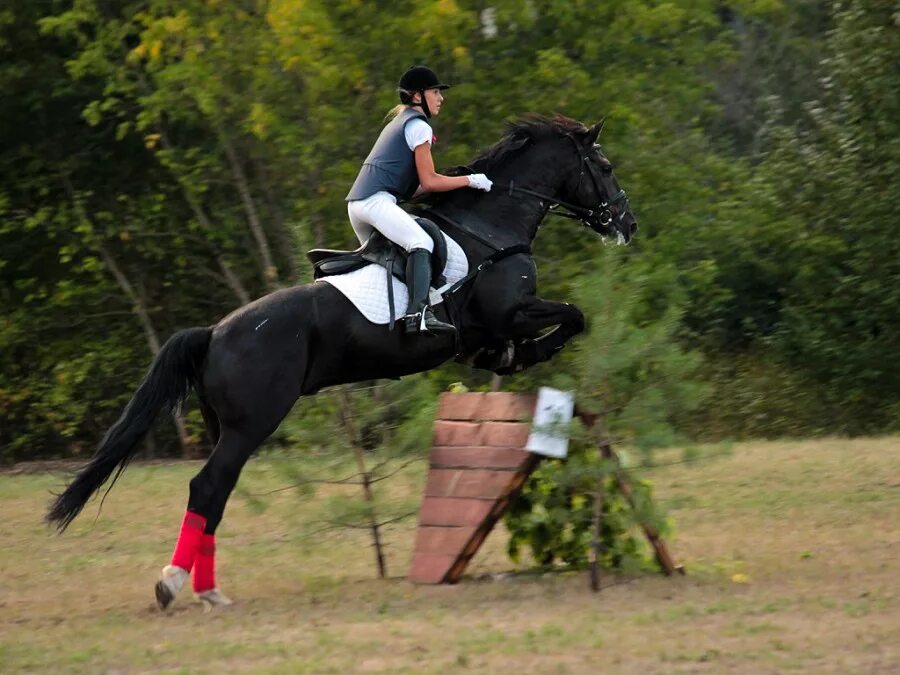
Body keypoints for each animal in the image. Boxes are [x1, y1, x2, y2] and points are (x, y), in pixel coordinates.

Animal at [49, 113, 636, 608]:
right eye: (605, 167)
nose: (626, 224)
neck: (491, 227)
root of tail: (214, 333)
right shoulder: (510, 311)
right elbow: (575, 315)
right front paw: (534, 352)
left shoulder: (489, 330)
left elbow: (554, 325)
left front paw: (515, 358)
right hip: (254, 421)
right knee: (208, 486)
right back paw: (173, 585)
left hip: (229, 427)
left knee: (218, 491)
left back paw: (208, 589)